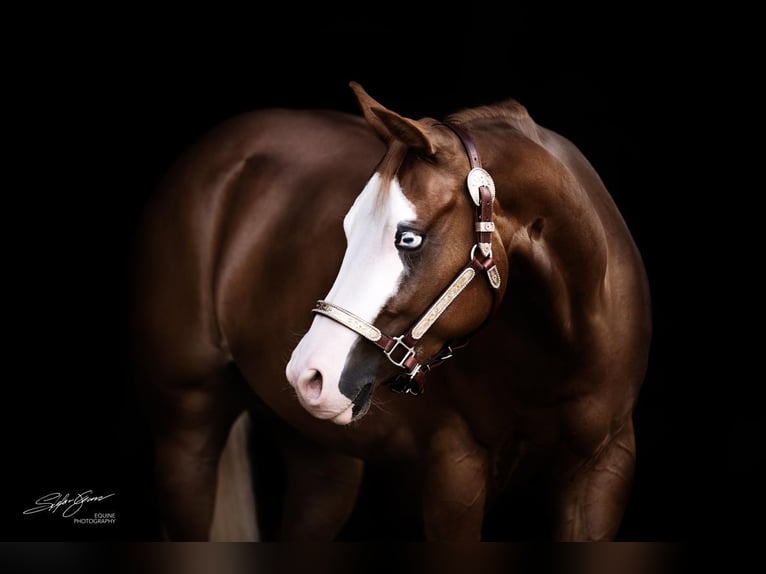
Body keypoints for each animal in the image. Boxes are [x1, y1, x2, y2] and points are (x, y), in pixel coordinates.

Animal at [132, 82, 656, 544]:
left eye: (409, 237)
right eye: (346, 228)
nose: (309, 374)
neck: (559, 351)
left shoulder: (604, 470)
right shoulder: (454, 475)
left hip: (322, 463)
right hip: (187, 429)